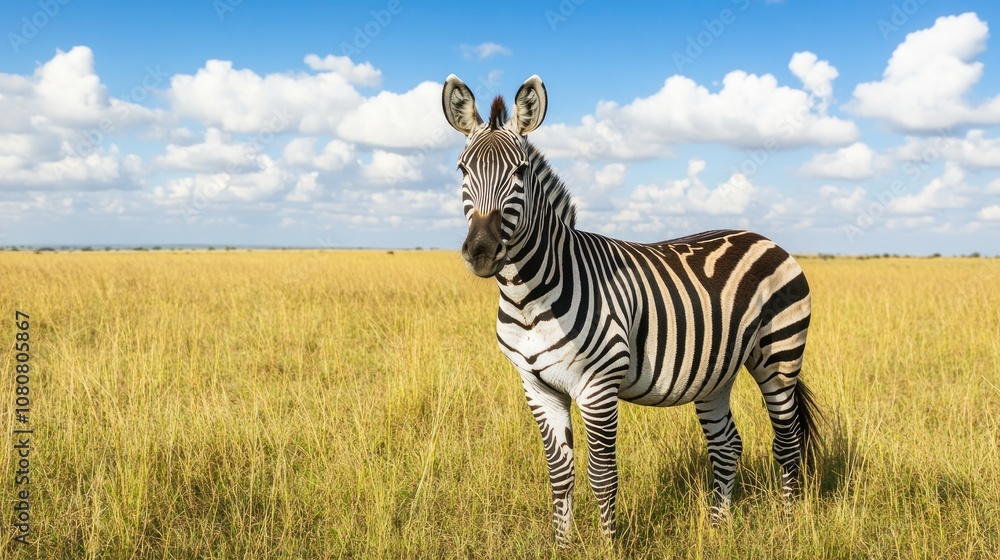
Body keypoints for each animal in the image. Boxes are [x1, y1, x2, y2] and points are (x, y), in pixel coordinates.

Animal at [441, 74, 820, 545]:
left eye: (521, 172)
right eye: (462, 169)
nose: (481, 251)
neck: (528, 298)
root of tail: (765, 238)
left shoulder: (598, 386)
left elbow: (602, 476)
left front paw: (607, 546)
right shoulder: (536, 386)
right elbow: (560, 474)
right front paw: (561, 546)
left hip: (779, 356)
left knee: (787, 441)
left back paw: (789, 526)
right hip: (717, 371)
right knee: (727, 444)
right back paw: (718, 527)